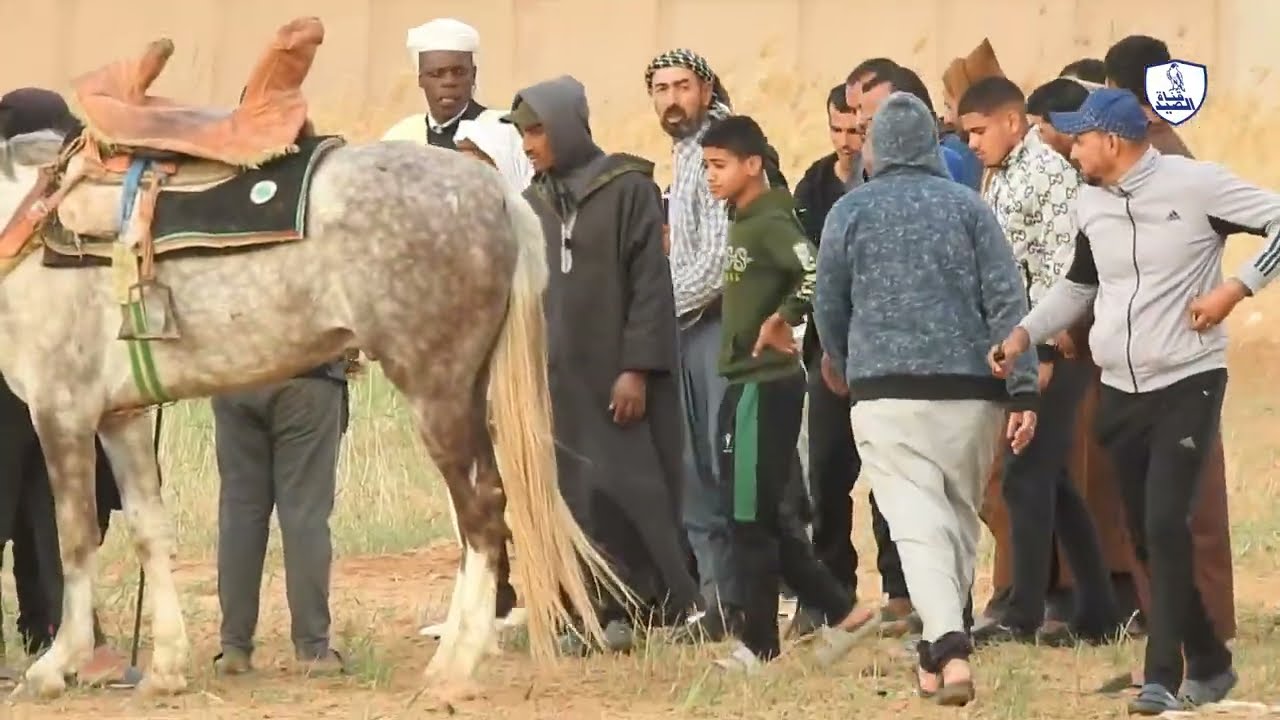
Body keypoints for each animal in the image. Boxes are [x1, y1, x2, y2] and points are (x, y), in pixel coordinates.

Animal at [0, 128, 621, 702]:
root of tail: (496, 192)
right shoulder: (121, 418)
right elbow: (150, 532)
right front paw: (168, 668)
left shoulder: (63, 412)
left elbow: (75, 539)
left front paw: (54, 666)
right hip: (471, 392)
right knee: (491, 503)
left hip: (437, 393)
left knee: (481, 518)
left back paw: (454, 666)